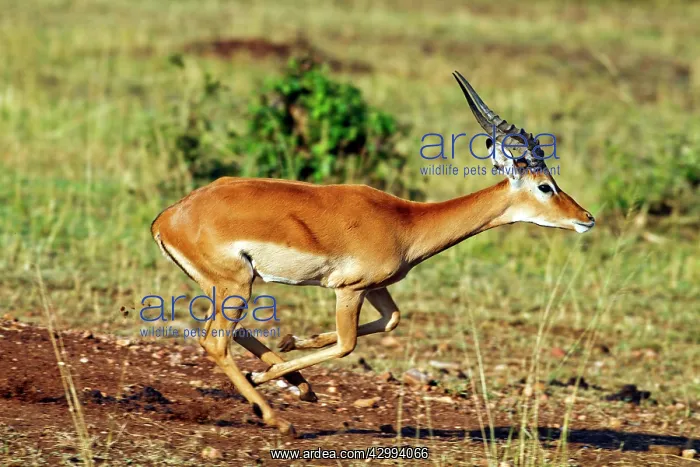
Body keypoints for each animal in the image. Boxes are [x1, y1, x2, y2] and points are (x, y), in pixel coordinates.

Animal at [150, 71, 595, 435]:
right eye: (545, 186)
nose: (587, 218)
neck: (405, 222)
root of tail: (167, 217)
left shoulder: (377, 287)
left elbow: (391, 320)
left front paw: (292, 346)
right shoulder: (349, 289)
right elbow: (348, 344)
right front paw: (272, 375)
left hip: (230, 286)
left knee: (225, 331)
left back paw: (296, 385)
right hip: (238, 284)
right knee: (215, 342)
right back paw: (278, 415)